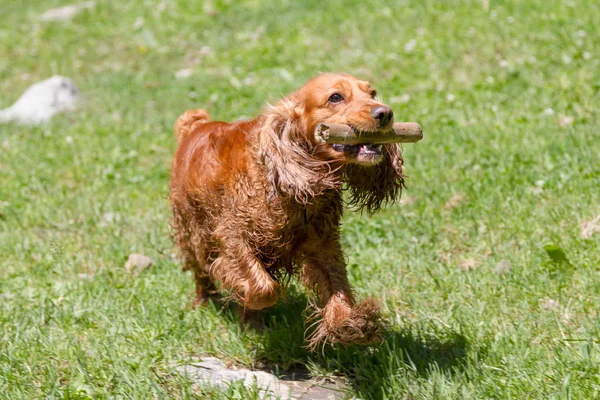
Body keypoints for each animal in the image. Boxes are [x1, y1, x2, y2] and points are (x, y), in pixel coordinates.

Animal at [169, 73, 404, 348]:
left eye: (372, 93)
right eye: (336, 97)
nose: (385, 113)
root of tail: (195, 126)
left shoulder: (323, 246)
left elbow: (337, 286)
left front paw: (350, 323)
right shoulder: (233, 236)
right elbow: (263, 289)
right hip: (192, 229)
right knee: (201, 270)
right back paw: (206, 301)